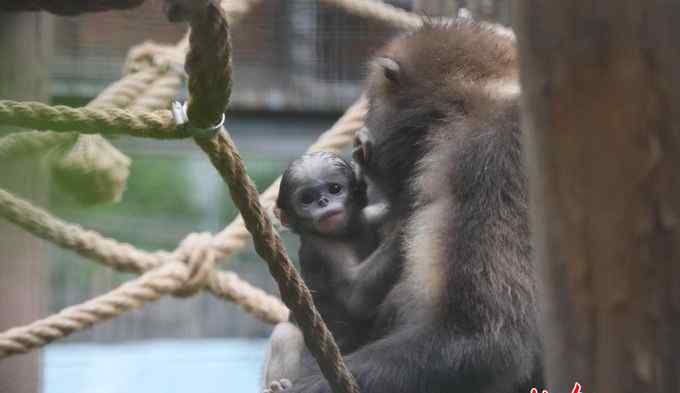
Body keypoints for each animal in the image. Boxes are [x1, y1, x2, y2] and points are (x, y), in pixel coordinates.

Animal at [266, 150, 390, 388]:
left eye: (334, 188)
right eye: (307, 198)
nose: (323, 202)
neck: (347, 234)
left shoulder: (371, 216)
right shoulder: (321, 247)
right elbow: (356, 297)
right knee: (285, 334)